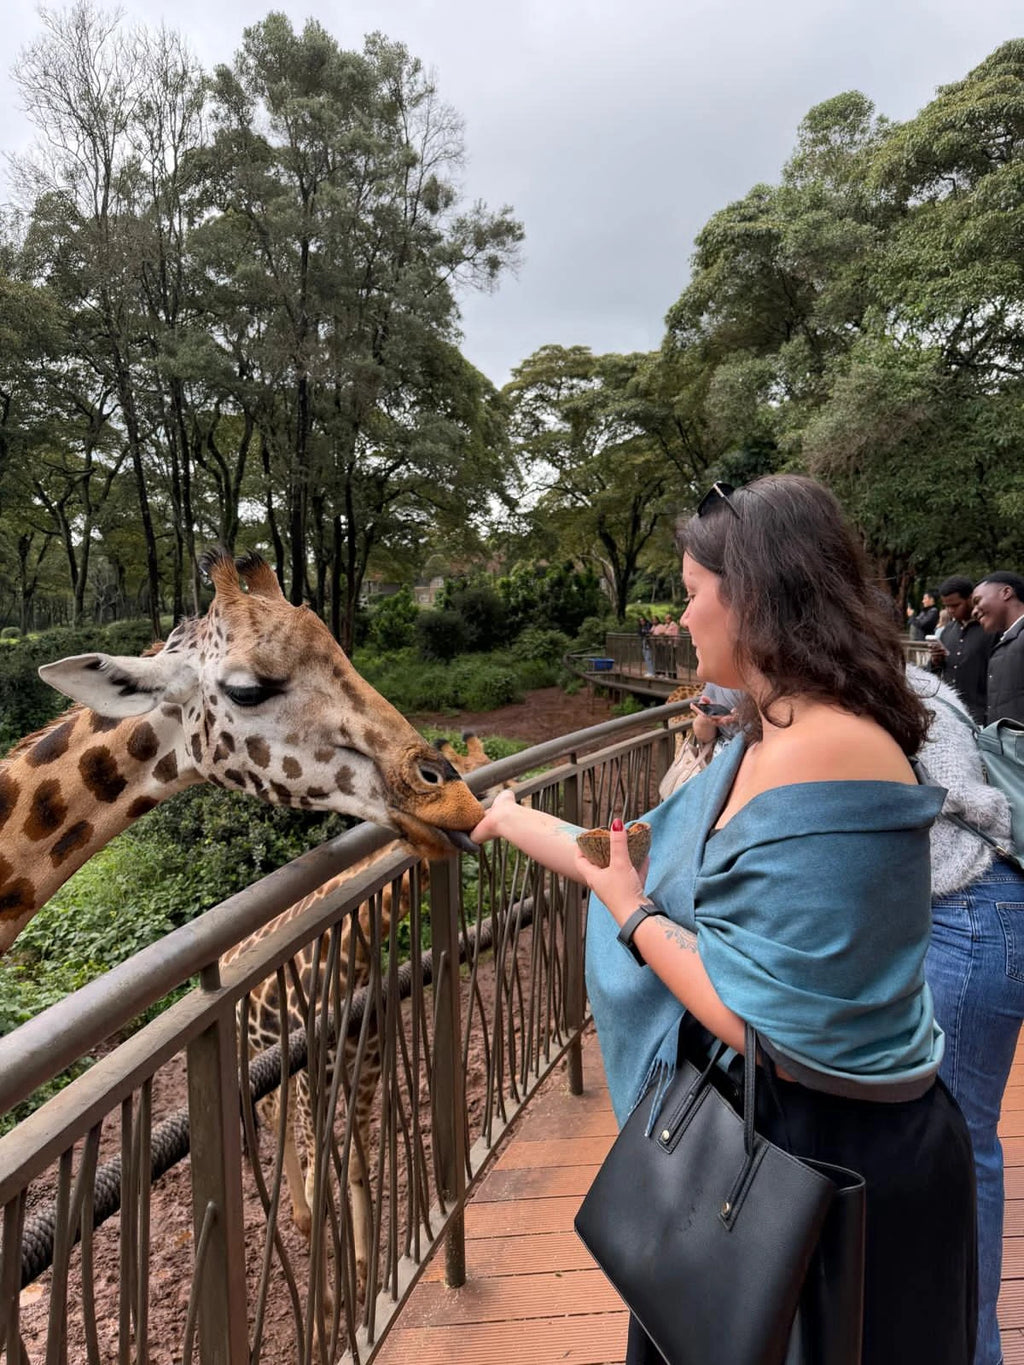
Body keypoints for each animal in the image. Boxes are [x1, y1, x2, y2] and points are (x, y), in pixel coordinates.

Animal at [223, 732, 497, 1302]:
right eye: (472, 776)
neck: (355, 951)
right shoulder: (316, 1083)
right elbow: (319, 1179)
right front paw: (330, 1298)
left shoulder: (366, 1074)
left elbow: (356, 1166)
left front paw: (369, 1272)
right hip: (275, 1076)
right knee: (283, 1142)